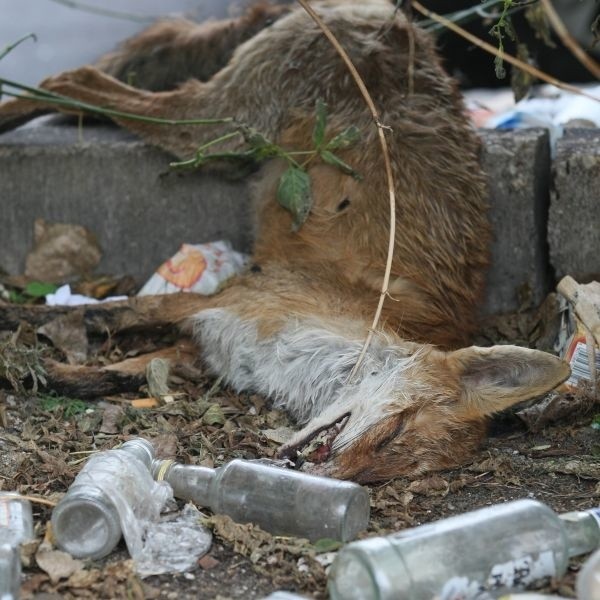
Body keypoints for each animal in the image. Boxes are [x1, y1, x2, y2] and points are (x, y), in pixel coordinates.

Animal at [0, 0, 568, 482]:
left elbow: (109, 375)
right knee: (76, 79)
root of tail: (404, 25)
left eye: (388, 474)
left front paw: (51, 371)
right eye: (395, 433)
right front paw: (23, 325)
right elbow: (105, 313)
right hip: (223, 127)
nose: (330, 478)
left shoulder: (203, 344)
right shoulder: (230, 298)